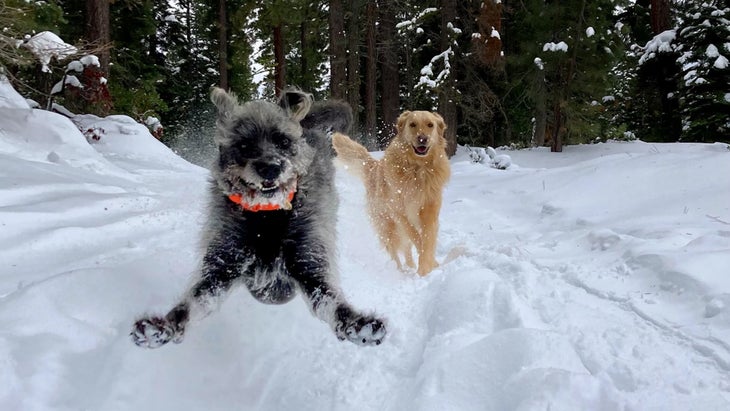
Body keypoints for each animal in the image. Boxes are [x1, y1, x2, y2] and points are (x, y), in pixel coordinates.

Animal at [129, 88, 386, 350]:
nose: (270, 167)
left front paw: (356, 324)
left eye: (283, 141)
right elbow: (195, 301)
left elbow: (330, 300)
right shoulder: (222, 266)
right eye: (243, 144)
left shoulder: (310, 264)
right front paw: (164, 327)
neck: (267, 215)